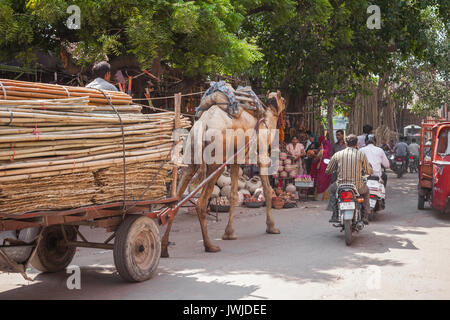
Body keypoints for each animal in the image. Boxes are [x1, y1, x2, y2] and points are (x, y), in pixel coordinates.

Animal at [161, 90, 284, 258]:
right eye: (282, 98)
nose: (285, 102)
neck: (266, 123)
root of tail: (203, 123)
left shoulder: (235, 160)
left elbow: (233, 194)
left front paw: (229, 233)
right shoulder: (262, 155)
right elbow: (267, 190)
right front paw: (272, 228)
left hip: (191, 157)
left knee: (175, 202)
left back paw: (164, 249)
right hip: (216, 161)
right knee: (200, 204)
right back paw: (210, 246)